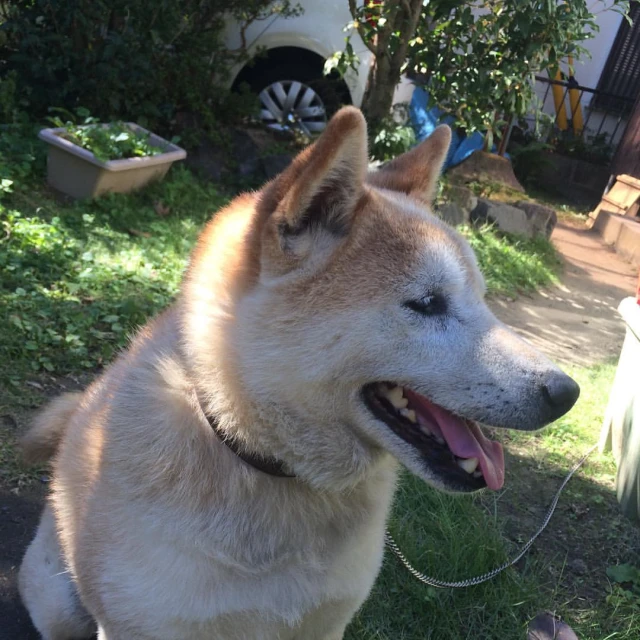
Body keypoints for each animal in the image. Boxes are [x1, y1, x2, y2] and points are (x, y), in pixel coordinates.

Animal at [18, 107, 580, 636]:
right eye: (426, 303)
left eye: (482, 300)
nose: (567, 393)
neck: (255, 458)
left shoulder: (329, 624)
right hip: (59, 604)